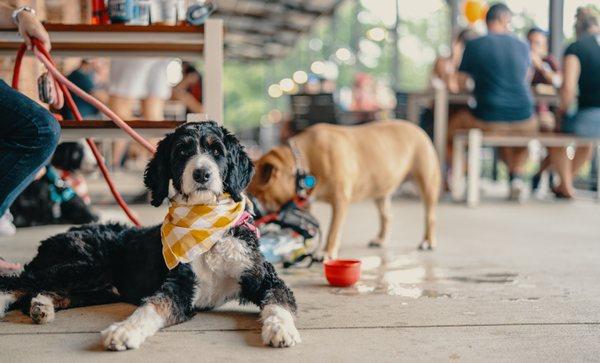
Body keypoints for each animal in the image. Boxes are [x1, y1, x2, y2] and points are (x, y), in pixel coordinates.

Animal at [0, 123, 300, 352]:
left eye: (217, 151)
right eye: (182, 151)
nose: (201, 173)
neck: (207, 228)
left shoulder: (264, 278)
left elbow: (279, 303)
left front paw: (281, 330)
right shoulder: (179, 285)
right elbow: (150, 307)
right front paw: (124, 331)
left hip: (100, 284)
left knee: (47, 290)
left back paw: (41, 305)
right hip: (87, 264)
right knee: (19, 280)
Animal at [247, 121, 440, 260]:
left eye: (255, 193)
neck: (303, 162)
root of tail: (418, 129)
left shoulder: (340, 201)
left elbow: (333, 230)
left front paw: (326, 252)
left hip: (427, 183)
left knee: (430, 216)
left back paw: (428, 241)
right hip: (380, 190)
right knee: (387, 216)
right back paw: (381, 239)